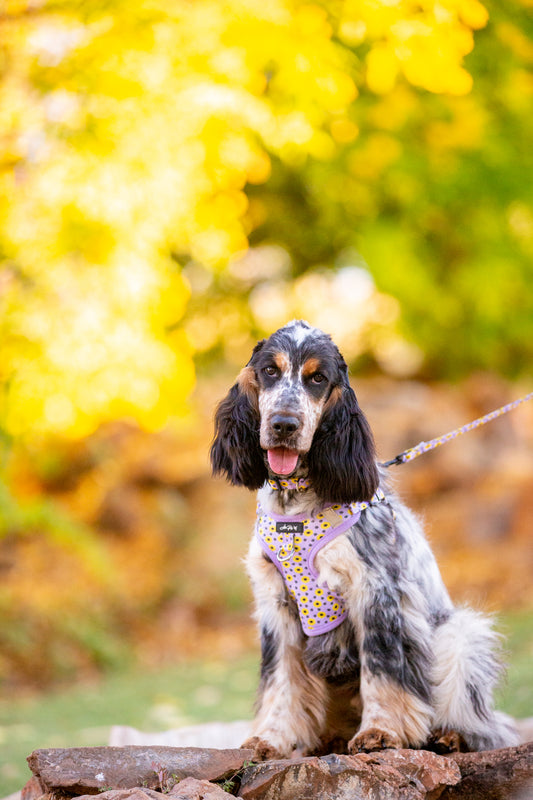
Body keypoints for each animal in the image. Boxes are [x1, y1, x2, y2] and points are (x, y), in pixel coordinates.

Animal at [210, 320, 516, 764]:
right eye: (269, 371)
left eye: (317, 378)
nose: (284, 424)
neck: (296, 502)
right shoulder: (276, 604)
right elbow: (280, 679)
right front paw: (269, 738)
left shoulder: (375, 593)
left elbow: (382, 669)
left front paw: (379, 731)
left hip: (459, 636)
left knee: (486, 726)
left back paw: (449, 737)